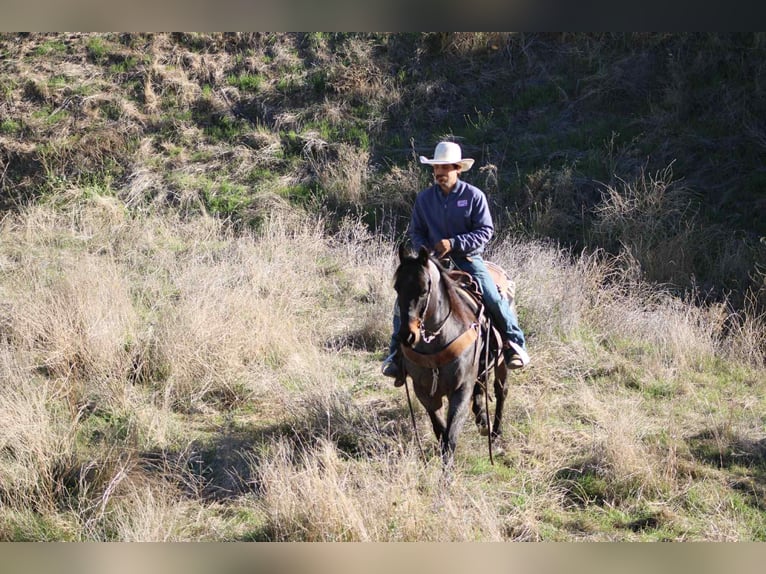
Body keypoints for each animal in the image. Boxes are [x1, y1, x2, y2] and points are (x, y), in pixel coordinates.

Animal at [393, 244, 510, 467]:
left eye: (424, 290)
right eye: (397, 287)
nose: (407, 335)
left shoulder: (460, 391)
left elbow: (451, 437)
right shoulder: (424, 393)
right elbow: (441, 431)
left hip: (501, 363)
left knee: (501, 391)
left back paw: (495, 432)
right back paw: (483, 421)